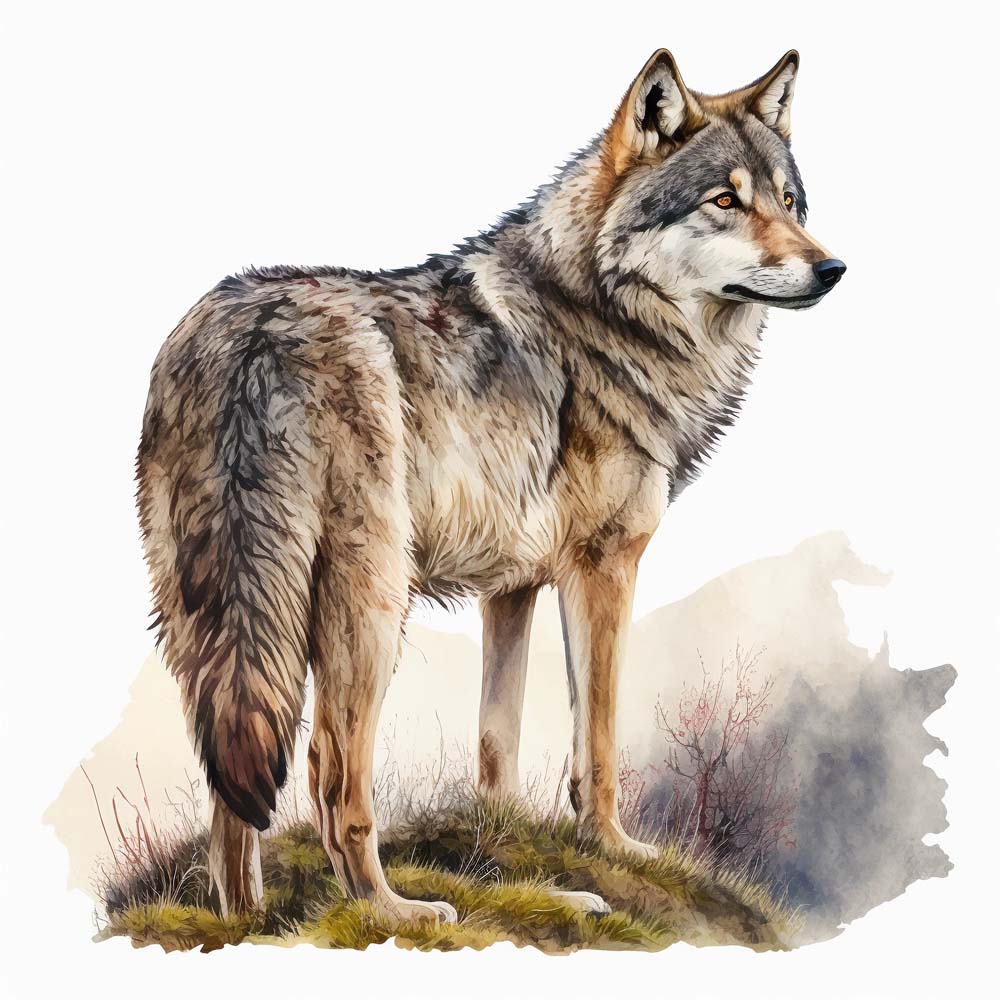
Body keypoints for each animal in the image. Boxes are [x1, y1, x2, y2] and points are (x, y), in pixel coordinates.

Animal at [137, 48, 845, 922]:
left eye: (789, 201)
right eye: (725, 201)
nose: (831, 268)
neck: (607, 312)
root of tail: (249, 338)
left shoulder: (510, 587)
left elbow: (497, 738)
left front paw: (514, 850)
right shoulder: (602, 566)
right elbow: (597, 739)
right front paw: (613, 849)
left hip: (218, 621)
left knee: (230, 780)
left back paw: (248, 920)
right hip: (370, 609)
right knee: (331, 772)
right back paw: (390, 910)